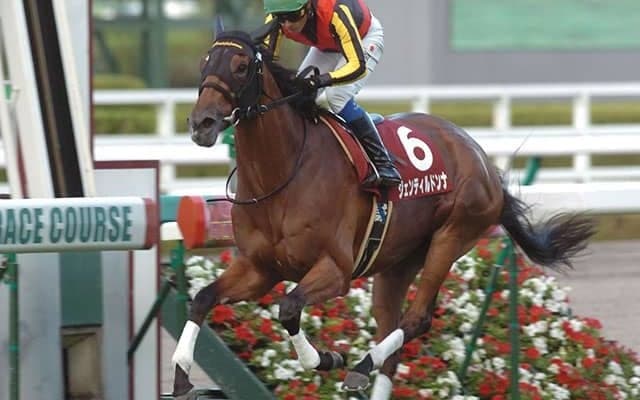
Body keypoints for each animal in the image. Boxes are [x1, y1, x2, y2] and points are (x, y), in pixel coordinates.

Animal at [171, 26, 595, 399]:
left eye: (242, 65)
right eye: (206, 61)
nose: (202, 122)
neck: (283, 173)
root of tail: (485, 162)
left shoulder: (335, 270)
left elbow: (289, 308)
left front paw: (326, 358)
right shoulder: (260, 269)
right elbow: (203, 298)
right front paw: (181, 375)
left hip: (452, 234)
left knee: (416, 318)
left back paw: (361, 364)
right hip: (396, 264)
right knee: (391, 338)